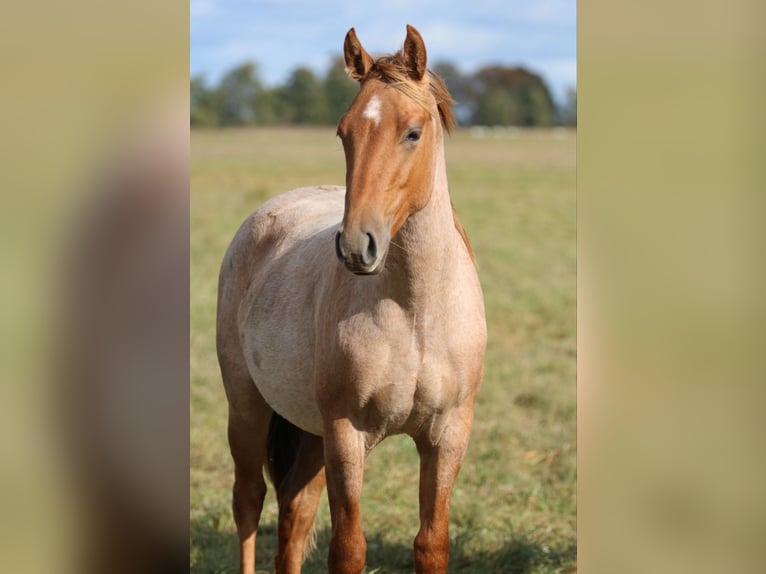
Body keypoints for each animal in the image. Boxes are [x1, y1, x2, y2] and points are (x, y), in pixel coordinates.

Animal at [218, 23, 486, 574]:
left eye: (413, 132)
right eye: (344, 132)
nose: (357, 245)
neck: (416, 313)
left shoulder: (448, 435)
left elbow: (431, 543)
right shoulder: (346, 432)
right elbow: (348, 547)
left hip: (309, 434)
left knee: (294, 516)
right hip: (247, 406)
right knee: (249, 501)